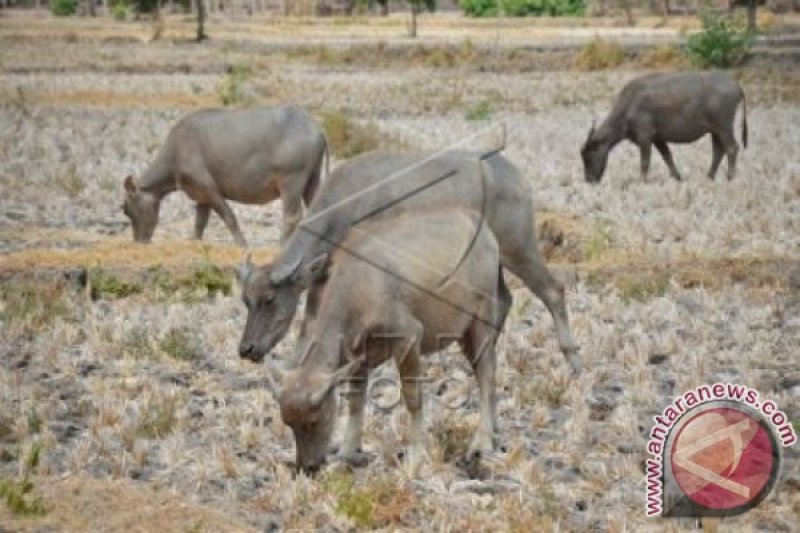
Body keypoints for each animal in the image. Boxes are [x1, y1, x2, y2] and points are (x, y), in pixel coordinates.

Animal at [122, 105, 328, 246]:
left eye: (126, 209)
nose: (138, 242)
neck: (176, 154)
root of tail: (317, 128)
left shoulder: (209, 189)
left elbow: (228, 216)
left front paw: (242, 244)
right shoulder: (201, 195)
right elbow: (200, 222)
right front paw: (195, 241)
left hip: (291, 182)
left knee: (292, 216)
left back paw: (282, 244)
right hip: (312, 179)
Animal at [238, 150, 580, 372]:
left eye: (269, 300)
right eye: (246, 301)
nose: (247, 349)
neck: (349, 202)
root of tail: (515, 176)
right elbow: (310, 318)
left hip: (518, 248)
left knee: (552, 290)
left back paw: (572, 357)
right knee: (504, 299)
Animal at [252, 210, 512, 472]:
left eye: (314, 421)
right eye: (288, 423)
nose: (308, 466)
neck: (360, 286)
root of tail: (478, 223)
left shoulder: (409, 337)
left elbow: (412, 397)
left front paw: (417, 453)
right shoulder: (357, 355)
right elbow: (355, 402)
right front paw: (346, 453)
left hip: (482, 320)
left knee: (487, 373)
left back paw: (481, 443)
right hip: (464, 334)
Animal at [580, 71, 752, 183]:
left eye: (588, 156)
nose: (589, 180)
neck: (629, 106)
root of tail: (737, 86)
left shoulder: (645, 138)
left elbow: (645, 162)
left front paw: (642, 180)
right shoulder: (658, 139)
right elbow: (667, 156)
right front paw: (678, 177)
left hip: (723, 126)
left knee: (731, 148)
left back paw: (730, 177)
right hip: (714, 130)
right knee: (718, 151)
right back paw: (709, 176)